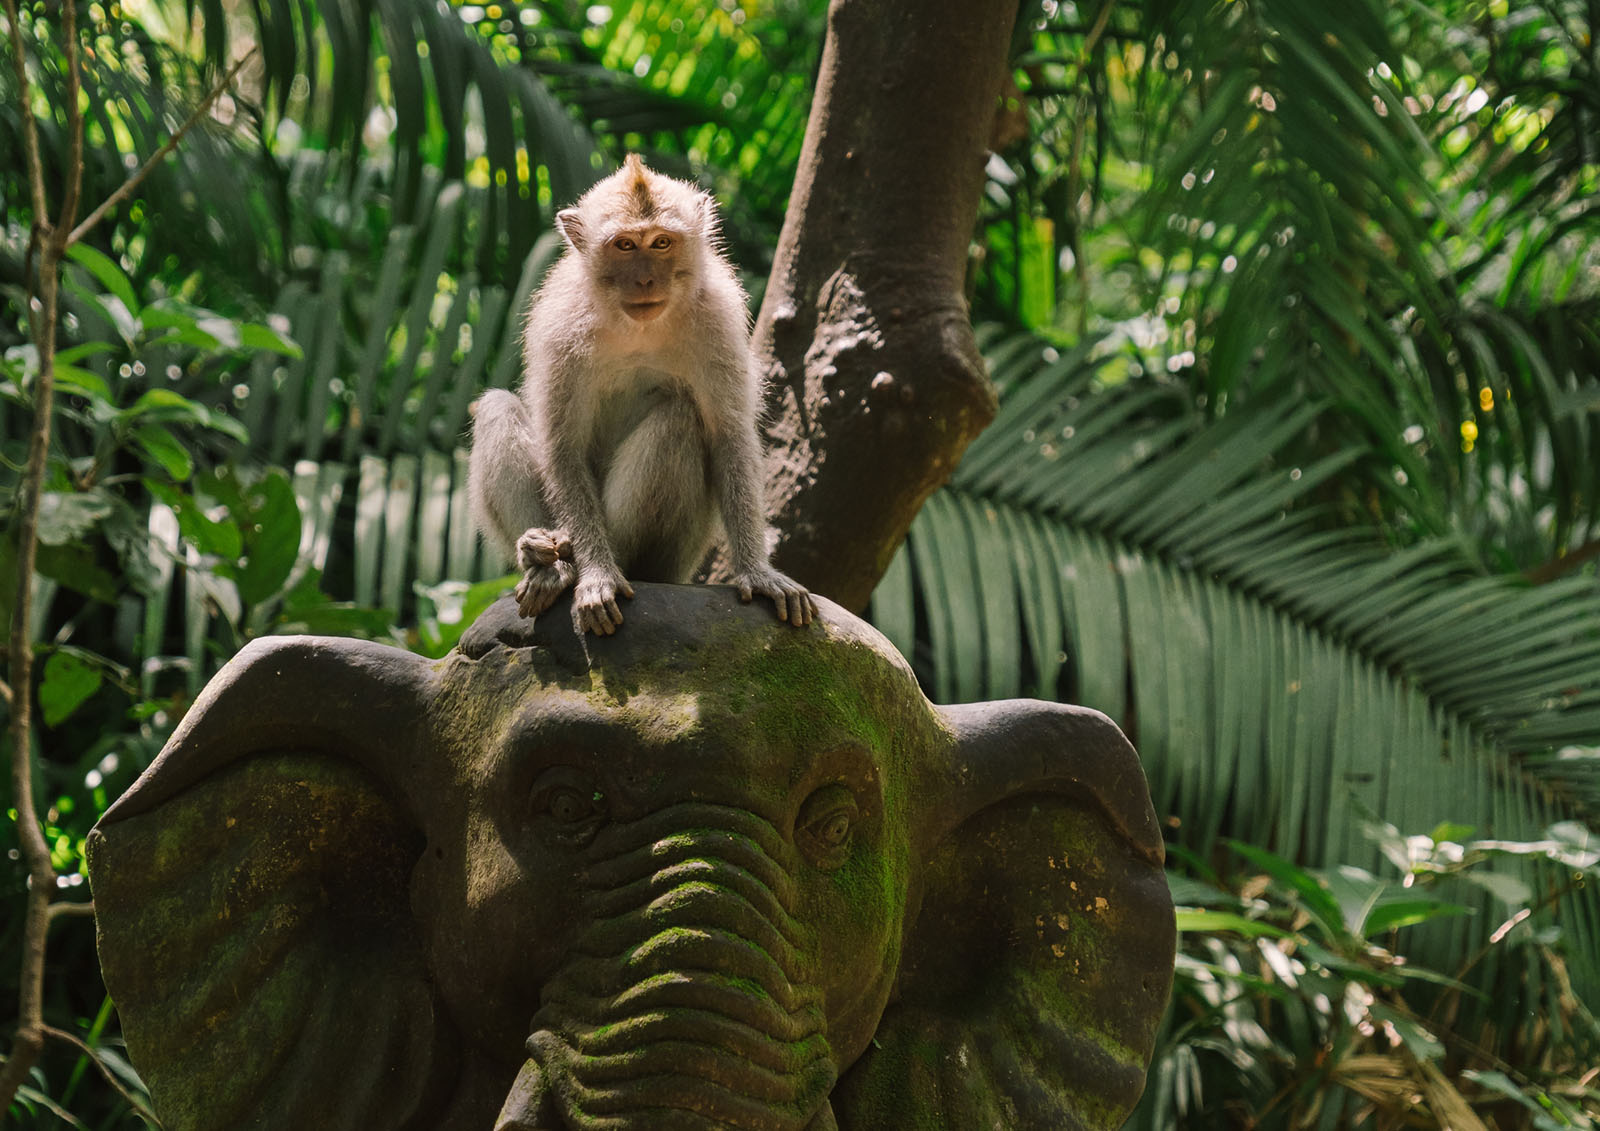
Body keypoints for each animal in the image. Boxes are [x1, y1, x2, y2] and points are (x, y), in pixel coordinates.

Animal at [467, 154, 817, 636]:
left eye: (662, 242)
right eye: (626, 245)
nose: (647, 279)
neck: (638, 327)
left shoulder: (717, 321)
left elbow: (729, 436)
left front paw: (758, 572)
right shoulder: (560, 329)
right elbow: (562, 448)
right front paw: (596, 574)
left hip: (672, 559)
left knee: (679, 418)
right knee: (498, 408)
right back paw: (548, 561)